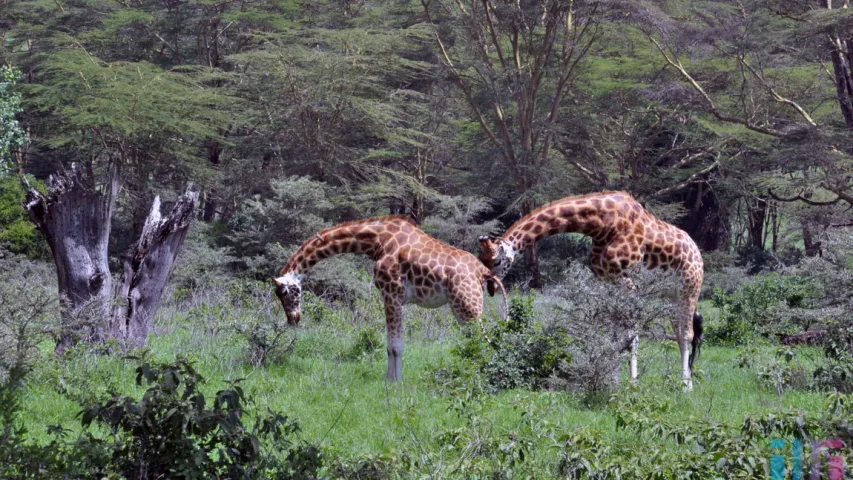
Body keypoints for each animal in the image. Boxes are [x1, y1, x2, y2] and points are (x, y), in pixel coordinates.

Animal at [272, 214, 502, 382]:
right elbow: (390, 345)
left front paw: (395, 383)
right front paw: (390, 380)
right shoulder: (390, 297)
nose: (293, 319)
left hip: (468, 305)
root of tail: (483, 271)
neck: (376, 241)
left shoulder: (392, 293)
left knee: (484, 339)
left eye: (286, 292)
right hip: (461, 308)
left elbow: (396, 346)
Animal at [480, 190, 704, 390]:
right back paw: (685, 381)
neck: (602, 225)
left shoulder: (628, 281)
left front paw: (632, 383)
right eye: (482, 260)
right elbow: (612, 330)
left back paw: (686, 385)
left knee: (687, 333)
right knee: (678, 333)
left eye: (498, 260)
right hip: (670, 296)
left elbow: (630, 331)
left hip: (690, 287)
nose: (490, 286)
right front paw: (613, 380)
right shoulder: (607, 280)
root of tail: (698, 253)